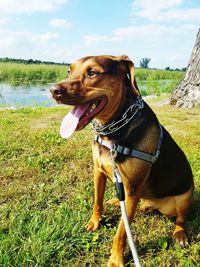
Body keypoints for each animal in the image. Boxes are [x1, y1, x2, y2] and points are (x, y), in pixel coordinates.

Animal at [51, 55, 194, 266]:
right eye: (69, 71)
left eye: (92, 73)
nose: (53, 90)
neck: (112, 132)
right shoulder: (99, 171)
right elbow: (97, 201)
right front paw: (95, 222)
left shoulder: (133, 188)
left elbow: (121, 232)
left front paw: (115, 259)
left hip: (184, 197)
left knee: (181, 219)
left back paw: (180, 234)